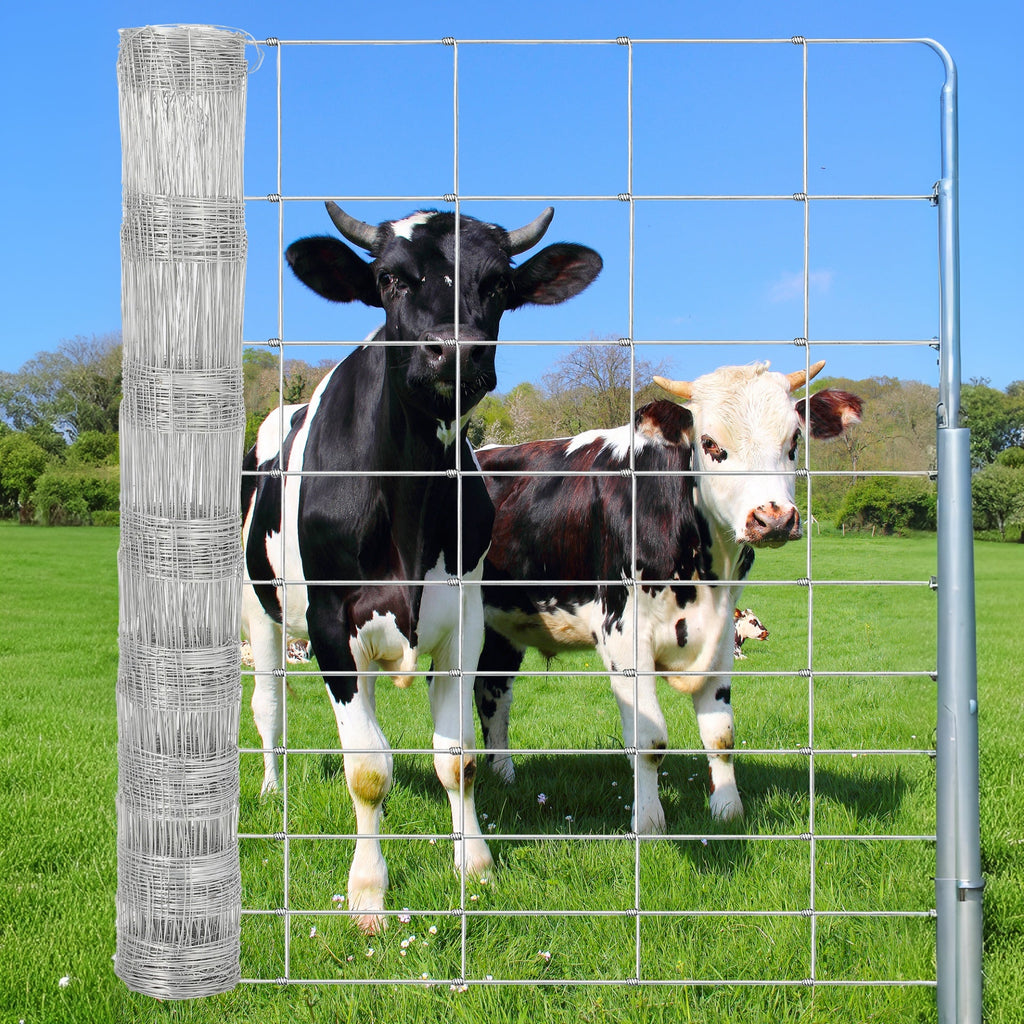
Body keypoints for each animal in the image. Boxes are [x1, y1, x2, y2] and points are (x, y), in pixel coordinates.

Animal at [241, 202, 602, 932]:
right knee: (269, 706)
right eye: (389, 278)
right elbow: (367, 771)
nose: (454, 351)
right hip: (256, 606)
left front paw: (476, 865)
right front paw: (368, 894)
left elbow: (457, 758)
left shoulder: (463, 619)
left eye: (498, 283)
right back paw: (269, 787)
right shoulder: (330, 622)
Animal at [473, 361, 862, 834]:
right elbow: (649, 739)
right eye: (709, 443)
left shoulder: (721, 637)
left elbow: (721, 734)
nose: (773, 519)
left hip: (501, 626)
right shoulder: (623, 635)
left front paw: (727, 810)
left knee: (493, 694)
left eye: (794, 442)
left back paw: (504, 777)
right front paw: (649, 820)